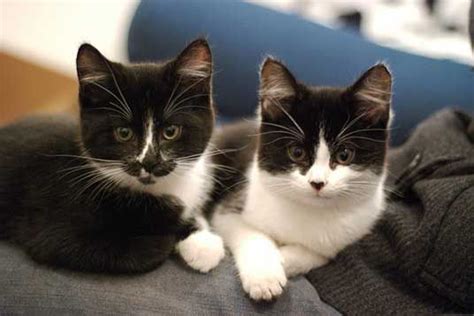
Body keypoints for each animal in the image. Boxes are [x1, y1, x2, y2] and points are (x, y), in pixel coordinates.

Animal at [0, 39, 226, 272]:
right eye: (123, 133)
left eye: (170, 131)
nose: (149, 162)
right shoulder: (53, 228)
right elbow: (141, 249)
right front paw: (174, 238)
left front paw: (202, 239)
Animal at [212, 58, 392, 300]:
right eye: (296, 152)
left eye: (344, 155)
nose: (317, 183)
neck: (309, 210)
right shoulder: (233, 205)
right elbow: (248, 232)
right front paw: (265, 276)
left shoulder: (352, 230)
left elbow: (320, 252)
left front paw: (285, 260)